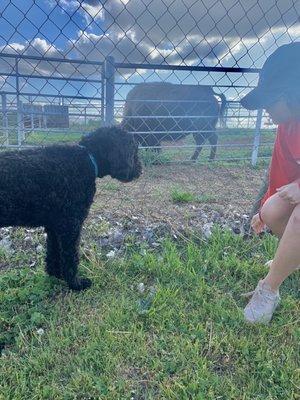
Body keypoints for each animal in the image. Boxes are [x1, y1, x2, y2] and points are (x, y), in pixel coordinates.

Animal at [0, 127, 142, 290]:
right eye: (134, 149)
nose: (140, 169)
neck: (88, 157)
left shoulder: (54, 226)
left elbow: (54, 253)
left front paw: (56, 275)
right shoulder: (70, 226)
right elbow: (71, 257)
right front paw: (76, 284)